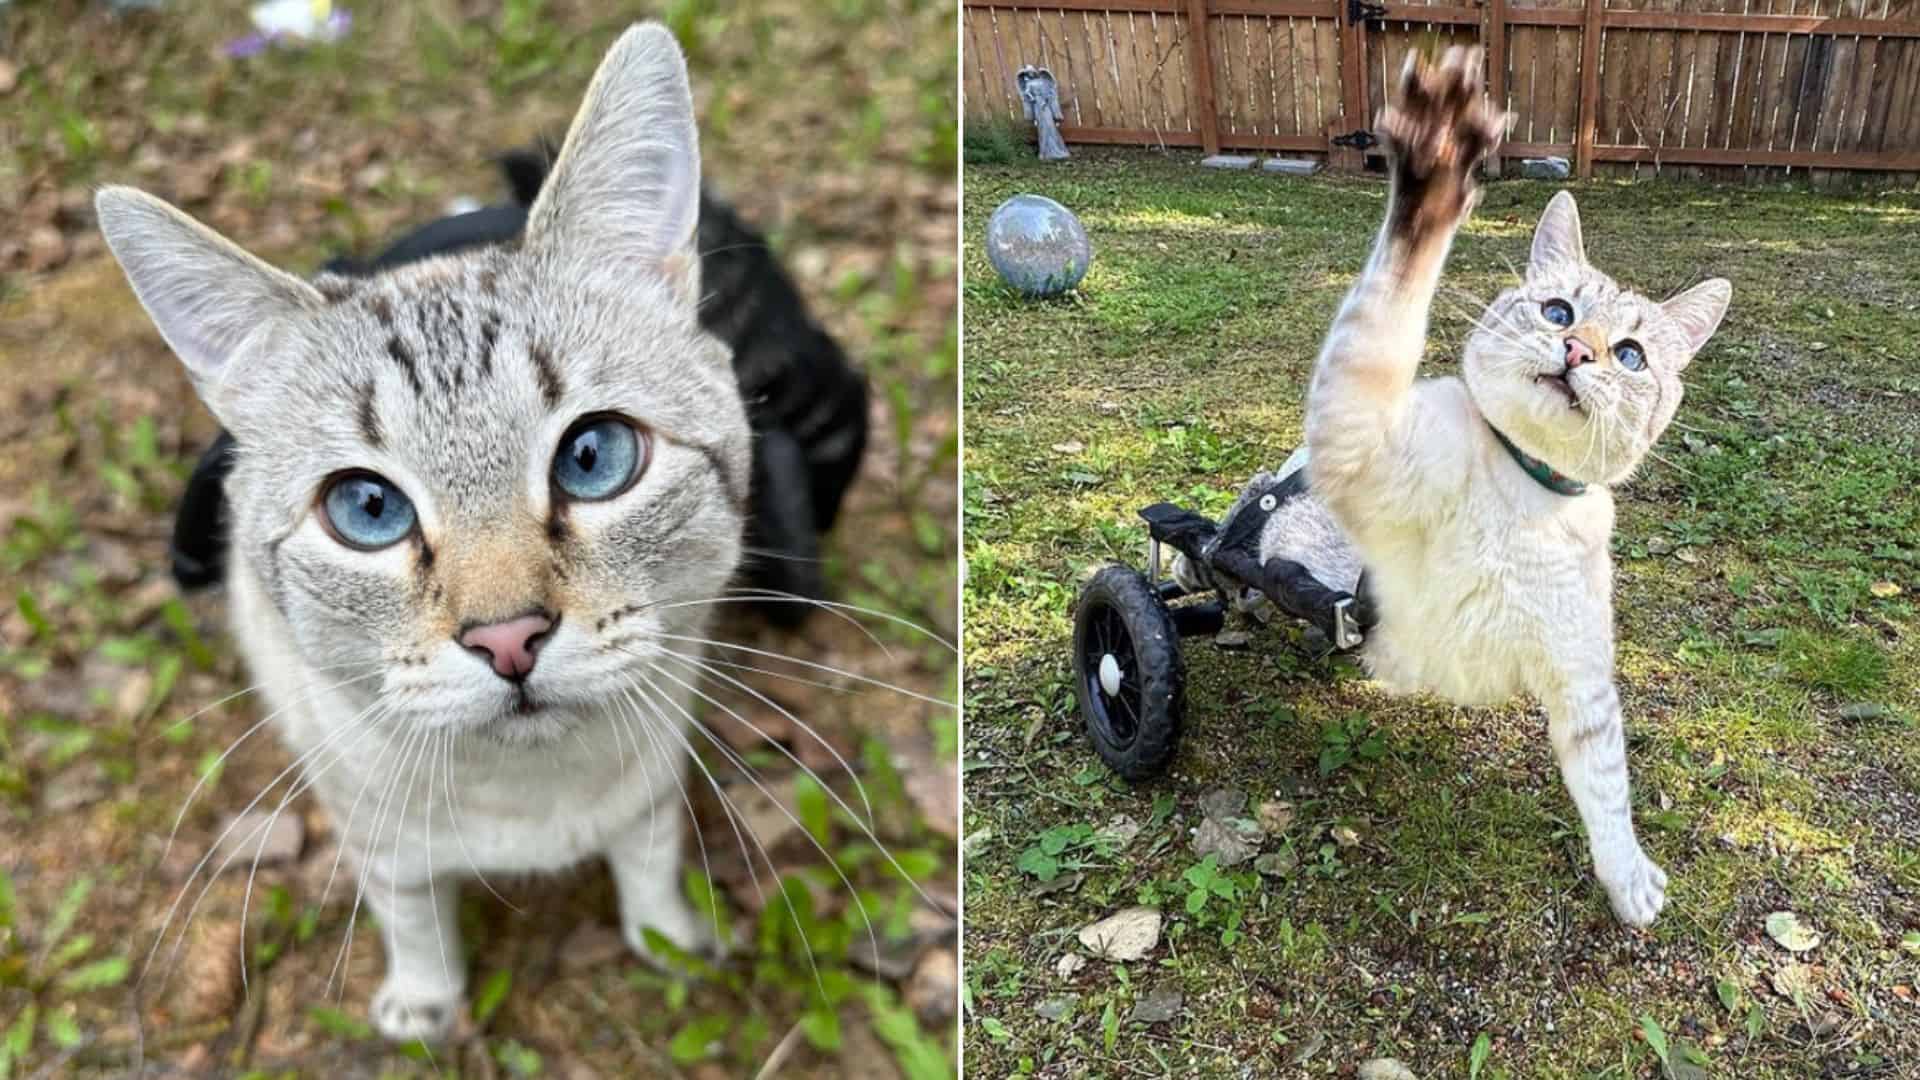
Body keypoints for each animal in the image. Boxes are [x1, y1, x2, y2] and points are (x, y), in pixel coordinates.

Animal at [97, 23, 779, 1037]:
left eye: (594, 457)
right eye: (367, 510)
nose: (509, 639)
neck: (533, 799)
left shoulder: (655, 783)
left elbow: (650, 869)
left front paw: (672, 946)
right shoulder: (375, 837)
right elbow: (414, 922)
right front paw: (425, 1008)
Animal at [1221, 50, 1735, 926]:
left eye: (1630, 356)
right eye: (1557, 310)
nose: (1577, 351)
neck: (1523, 493)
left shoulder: (1582, 681)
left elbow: (1608, 789)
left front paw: (1627, 878)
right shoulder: (1355, 436)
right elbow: (1389, 302)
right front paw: (1436, 164)